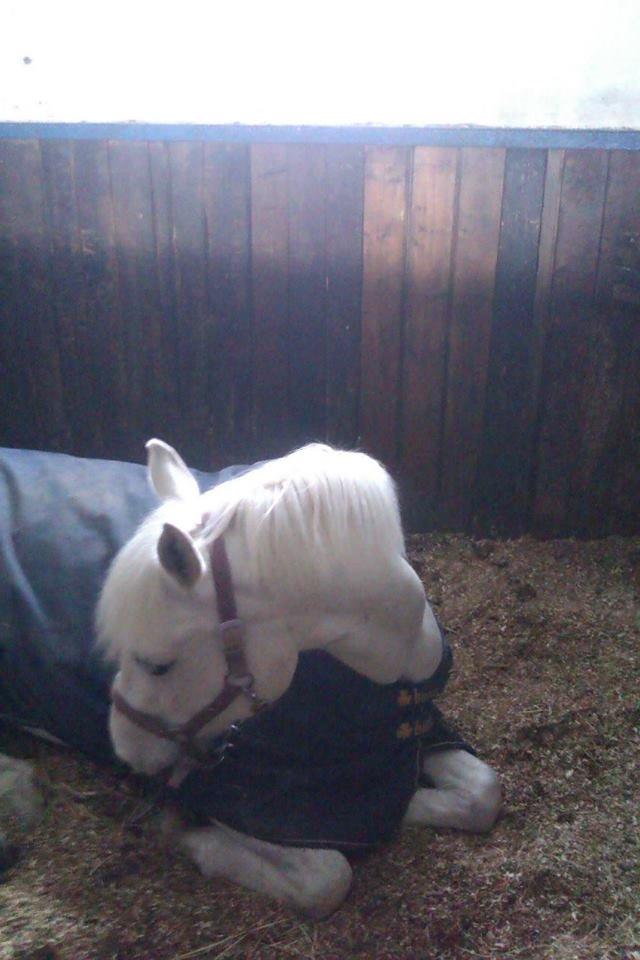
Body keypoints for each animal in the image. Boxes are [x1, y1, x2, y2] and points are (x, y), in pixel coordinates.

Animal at [0, 440, 501, 918]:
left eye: (158, 665)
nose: (126, 751)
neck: (389, 676)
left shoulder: (419, 731)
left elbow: (482, 793)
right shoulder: (241, 799)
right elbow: (327, 877)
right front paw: (176, 826)